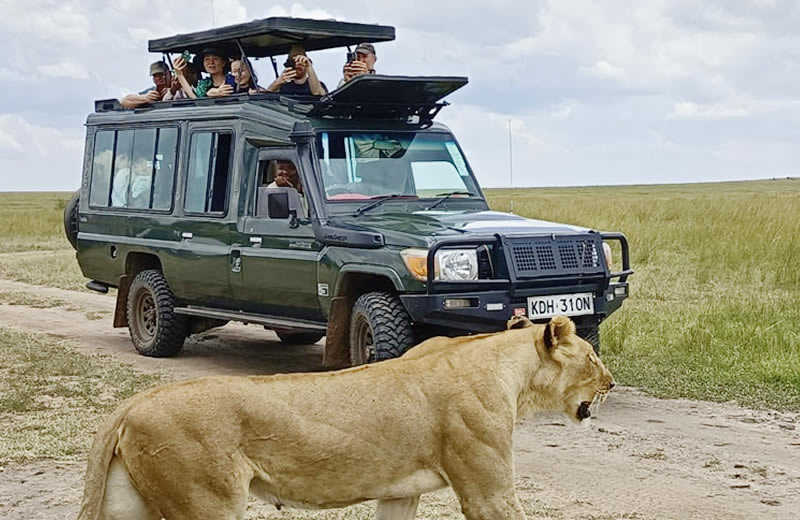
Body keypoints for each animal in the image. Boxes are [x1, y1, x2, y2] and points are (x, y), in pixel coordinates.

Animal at [77, 315, 614, 520]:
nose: (611, 383)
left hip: (129, 504)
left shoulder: (401, 492)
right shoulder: (487, 491)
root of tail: (133, 403)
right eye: (592, 357)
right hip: (207, 503)